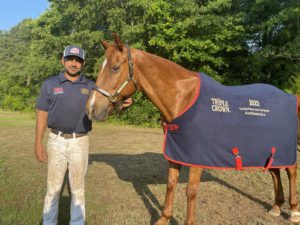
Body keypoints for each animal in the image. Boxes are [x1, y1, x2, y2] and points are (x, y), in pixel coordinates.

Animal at [85, 33, 300, 225]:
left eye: (114, 68)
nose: (91, 108)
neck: (182, 98)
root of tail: (290, 96)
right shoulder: (175, 152)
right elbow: (171, 184)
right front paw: (164, 219)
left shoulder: (196, 157)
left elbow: (191, 191)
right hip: (269, 149)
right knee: (275, 172)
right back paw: (276, 207)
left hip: (285, 147)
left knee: (291, 171)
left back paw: (293, 211)